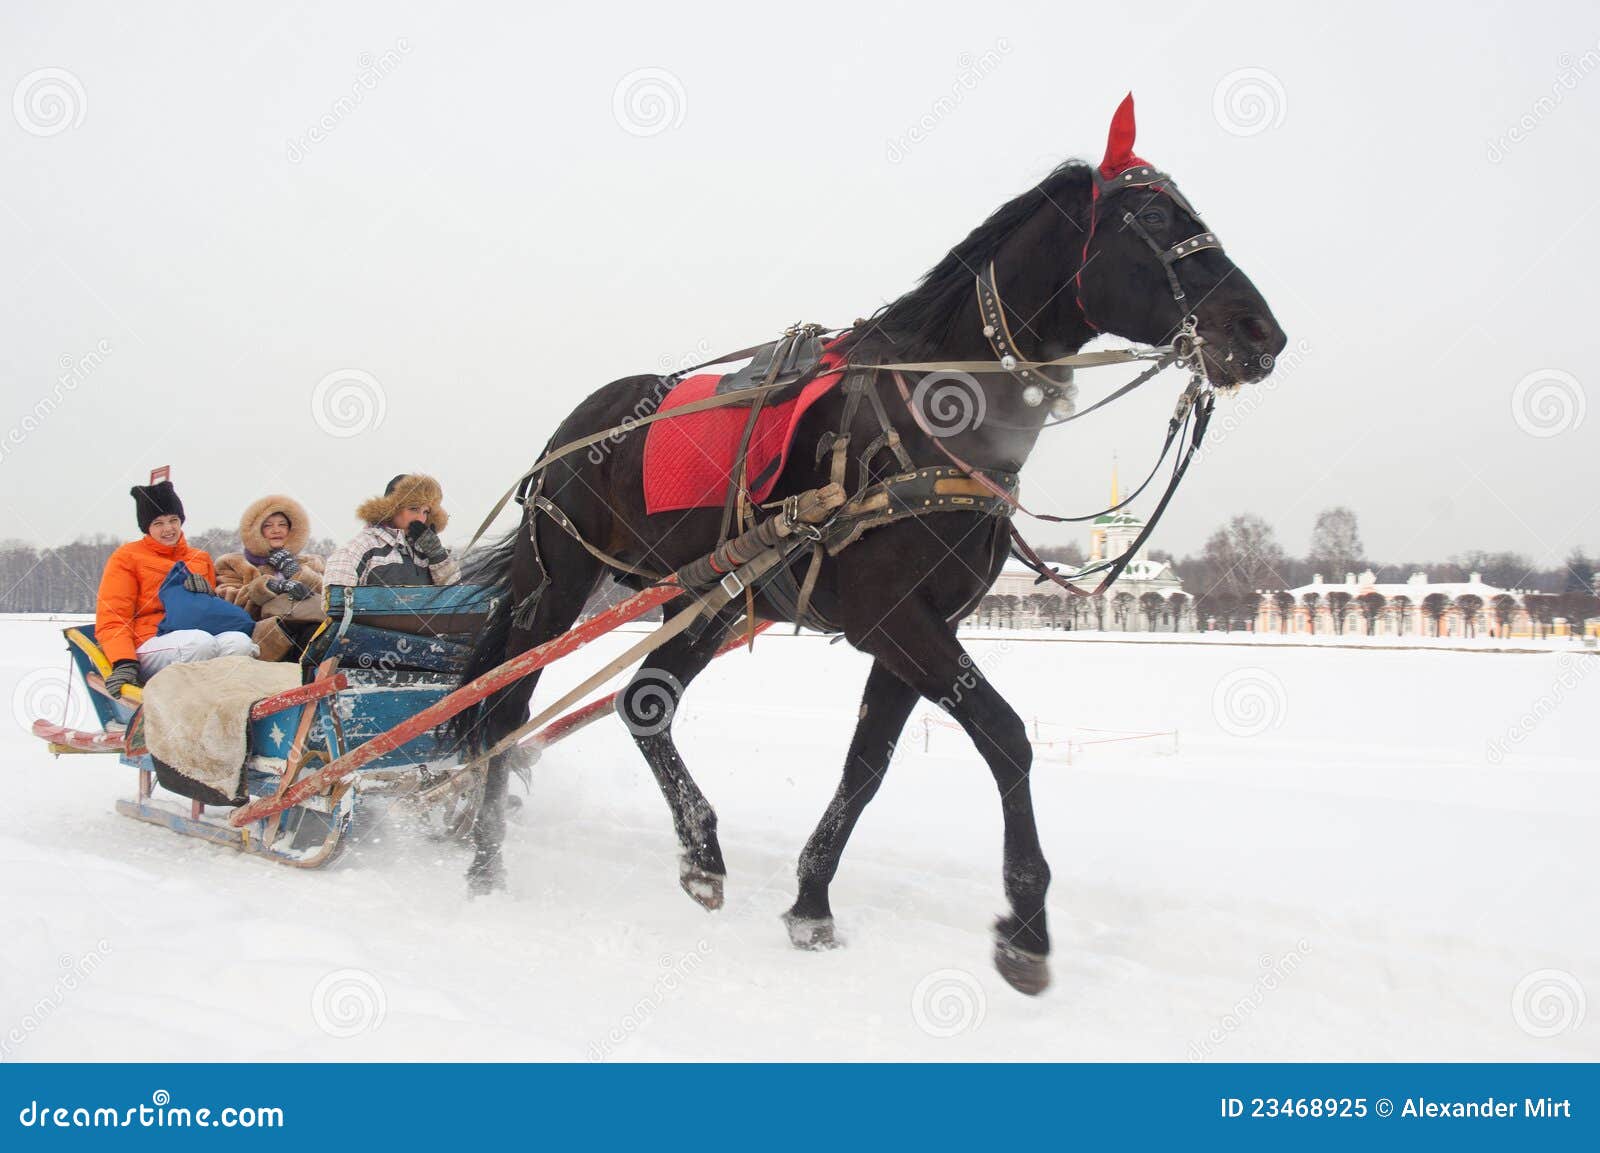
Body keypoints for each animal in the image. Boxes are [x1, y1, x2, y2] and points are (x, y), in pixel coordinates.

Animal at [457, 101, 1280, 997]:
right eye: (1156, 218)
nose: (1261, 332)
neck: (929, 417)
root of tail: (575, 426)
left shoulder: (918, 628)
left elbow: (867, 766)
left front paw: (811, 900)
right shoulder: (893, 618)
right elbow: (1007, 736)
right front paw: (1026, 924)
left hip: (708, 596)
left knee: (643, 702)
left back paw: (700, 849)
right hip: (557, 583)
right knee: (503, 707)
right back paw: (485, 858)